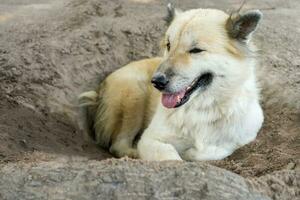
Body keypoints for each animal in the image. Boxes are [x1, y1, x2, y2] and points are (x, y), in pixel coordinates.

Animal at [78, 3, 264, 161]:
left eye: (196, 50)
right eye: (168, 45)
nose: (157, 82)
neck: (202, 109)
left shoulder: (244, 138)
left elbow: (216, 149)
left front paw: (193, 152)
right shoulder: (150, 139)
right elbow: (169, 155)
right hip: (134, 96)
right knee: (118, 145)